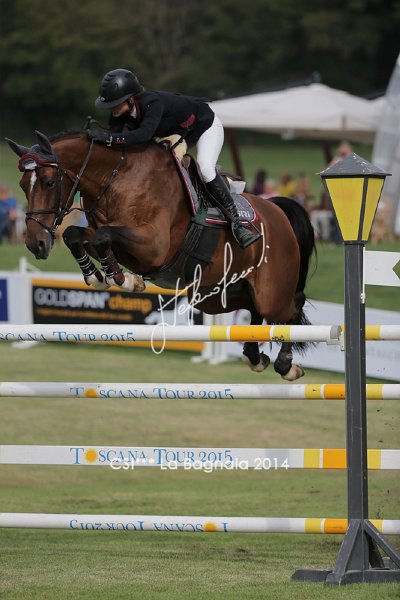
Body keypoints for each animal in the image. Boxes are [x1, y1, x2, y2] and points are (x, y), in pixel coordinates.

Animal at [6, 130, 316, 380]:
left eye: (48, 182)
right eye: (22, 185)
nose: (36, 244)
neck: (115, 179)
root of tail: (277, 210)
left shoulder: (153, 247)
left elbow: (104, 236)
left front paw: (122, 279)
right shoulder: (103, 236)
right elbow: (77, 235)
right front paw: (99, 277)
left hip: (270, 290)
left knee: (290, 308)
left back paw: (287, 365)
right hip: (217, 294)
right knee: (254, 310)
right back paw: (255, 356)